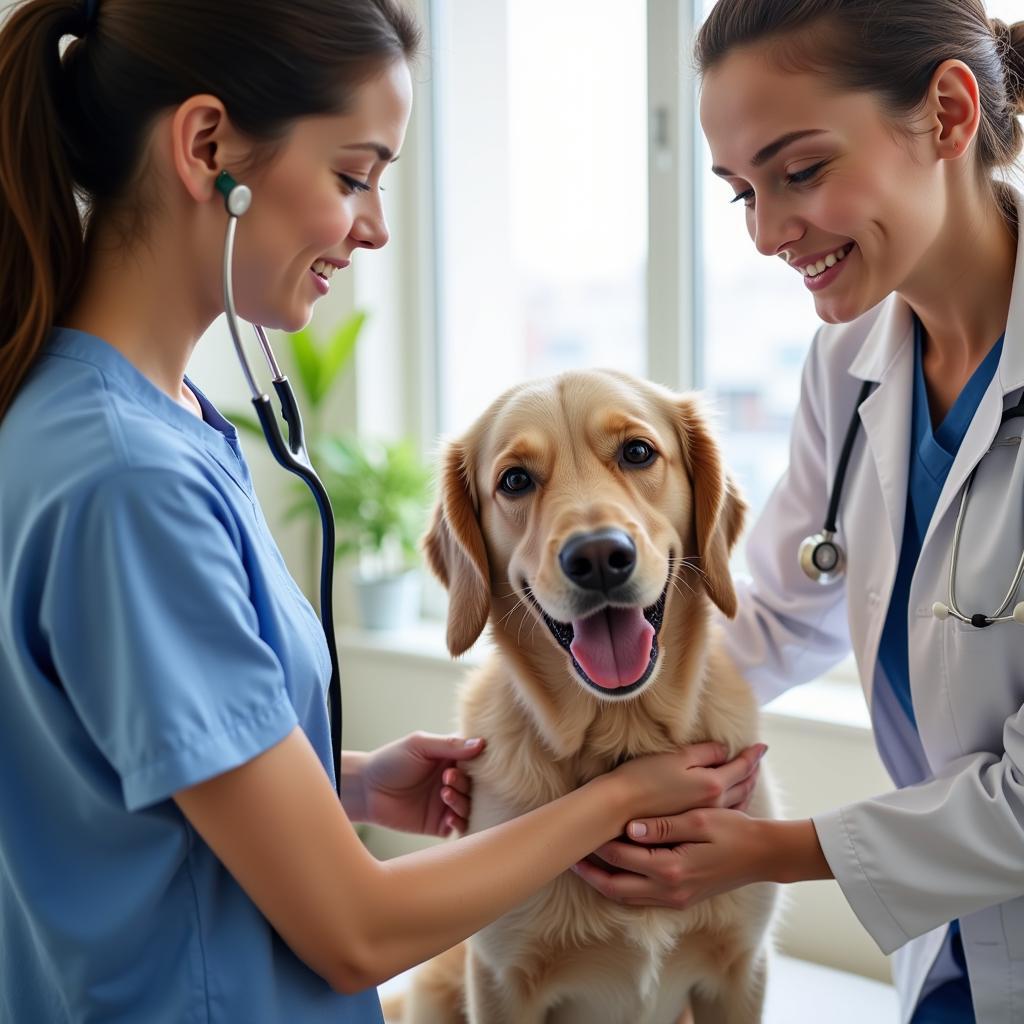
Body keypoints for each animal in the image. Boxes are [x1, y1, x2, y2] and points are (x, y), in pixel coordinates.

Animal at [395, 372, 770, 1024]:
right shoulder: (499, 981)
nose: (598, 557)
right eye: (514, 480)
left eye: (638, 452)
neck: (623, 734)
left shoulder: (742, 970)